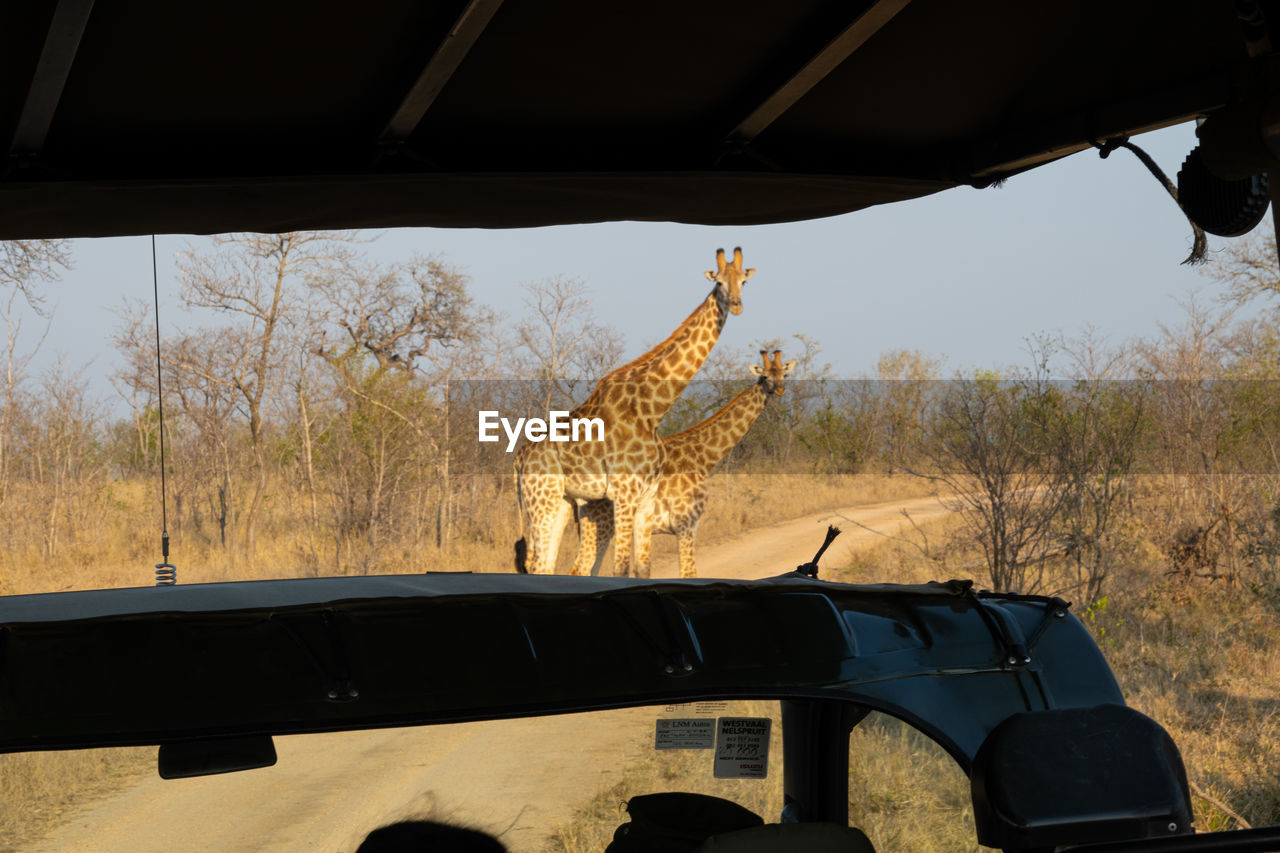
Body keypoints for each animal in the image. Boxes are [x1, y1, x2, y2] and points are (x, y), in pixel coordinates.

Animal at [509, 247, 747, 578]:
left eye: (743, 282)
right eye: (720, 282)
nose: (736, 306)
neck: (653, 408)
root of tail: (519, 457)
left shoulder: (645, 500)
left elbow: (641, 568)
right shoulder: (624, 495)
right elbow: (620, 569)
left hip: (560, 501)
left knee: (545, 564)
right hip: (542, 500)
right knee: (541, 564)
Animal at [573, 348, 793, 578]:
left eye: (785, 374)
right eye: (765, 377)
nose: (780, 389)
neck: (703, 457)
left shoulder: (687, 527)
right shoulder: (686, 525)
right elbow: (689, 573)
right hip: (602, 523)